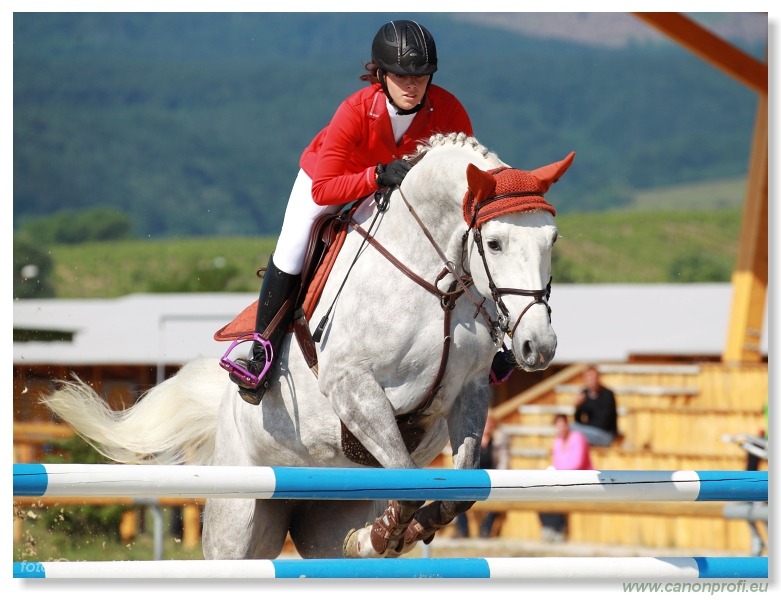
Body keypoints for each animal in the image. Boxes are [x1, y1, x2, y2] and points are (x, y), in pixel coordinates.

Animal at [39, 134, 572, 560]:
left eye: (553, 239)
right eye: (495, 243)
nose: (538, 346)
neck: (438, 283)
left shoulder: (469, 391)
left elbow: (459, 492)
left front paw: (395, 532)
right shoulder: (352, 385)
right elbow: (404, 476)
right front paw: (382, 534)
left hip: (323, 518)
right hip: (239, 524)